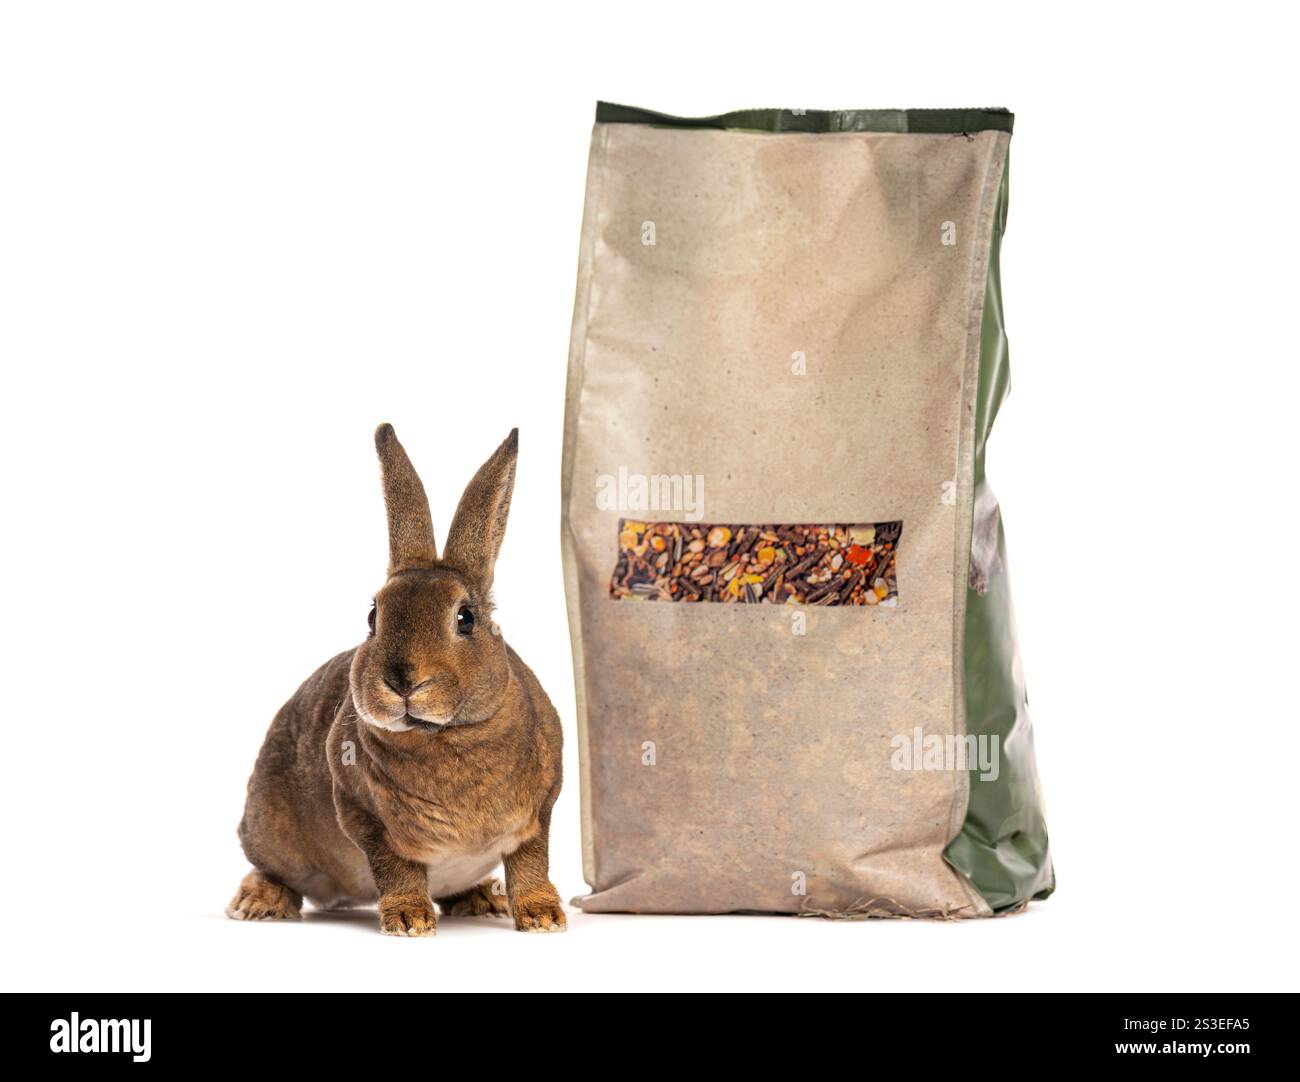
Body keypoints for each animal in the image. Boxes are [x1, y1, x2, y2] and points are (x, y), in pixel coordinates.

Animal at [227, 425, 565, 935]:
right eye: (373, 617)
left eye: (465, 618)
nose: (403, 681)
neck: (446, 735)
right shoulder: (367, 818)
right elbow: (397, 868)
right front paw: (409, 920)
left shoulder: (540, 810)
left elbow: (531, 862)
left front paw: (543, 916)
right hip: (272, 833)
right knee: (273, 869)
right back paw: (259, 901)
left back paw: (482, 898)